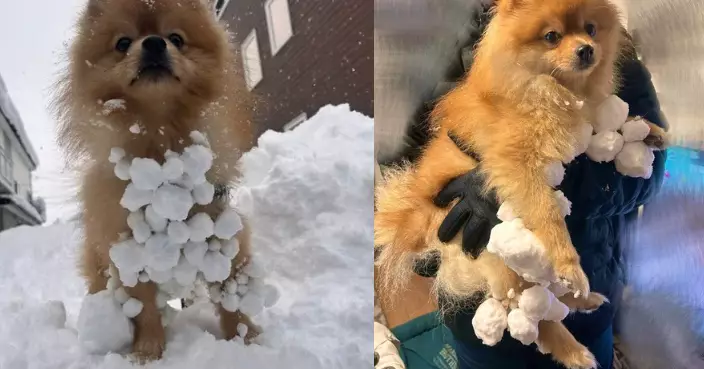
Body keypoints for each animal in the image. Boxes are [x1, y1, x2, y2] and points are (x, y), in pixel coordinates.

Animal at [53, 0, 256, 362]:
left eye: (176, 38)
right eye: (122, 43)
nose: (154, 43)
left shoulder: (221, 233)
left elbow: (231, 293)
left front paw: (245, 338)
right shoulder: (128, 252)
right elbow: (145, 307)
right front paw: (148, 351)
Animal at [374, 0, 664, 366]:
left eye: (591, 29)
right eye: (551, 36)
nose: (587, 49)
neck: (553, 87)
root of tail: (415, 219)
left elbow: (608, 122)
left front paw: (650, 130)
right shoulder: (519, 167)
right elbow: (548, 216)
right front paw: (568, 260)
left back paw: (584, 300)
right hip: (491, 251)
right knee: (530, 314)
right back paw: (574, 349)